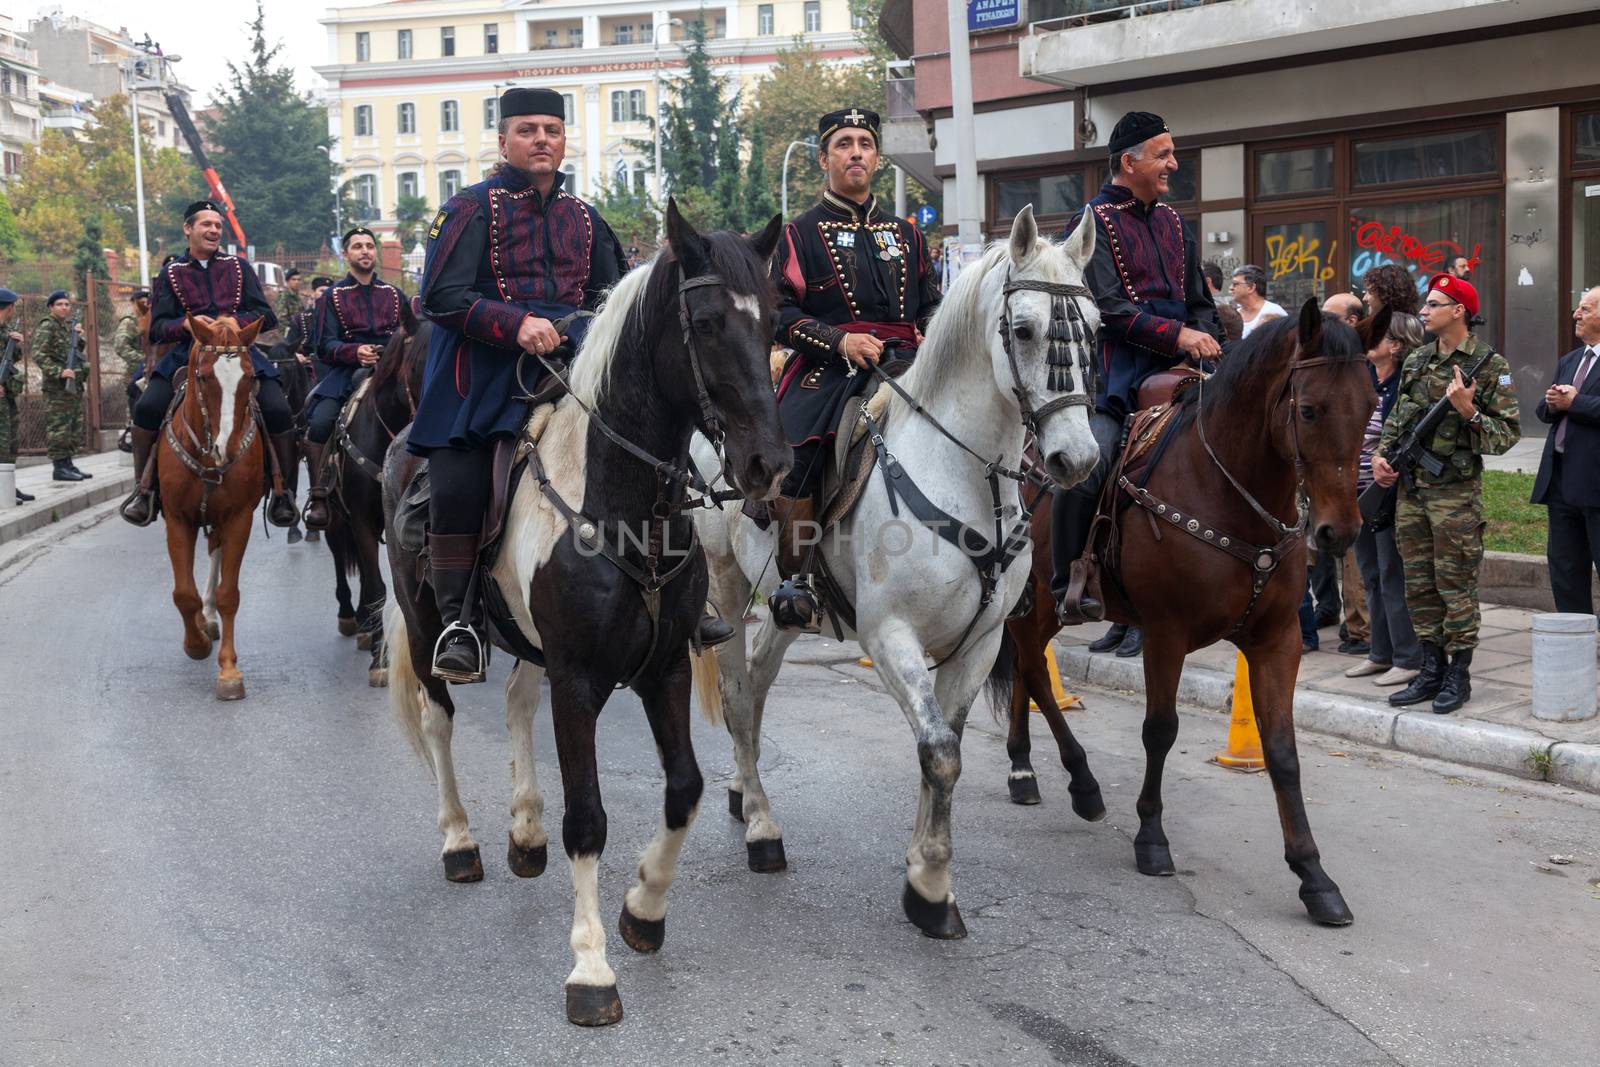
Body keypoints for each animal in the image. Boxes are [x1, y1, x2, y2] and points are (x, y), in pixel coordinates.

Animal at [157, 316, 270, 700]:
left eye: (250, 377)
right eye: (205, 377)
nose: (228, 448)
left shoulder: (239, 519)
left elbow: (228, 595)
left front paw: (229, 671)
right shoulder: (177, 519)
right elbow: (183, 594)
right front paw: (196, 644)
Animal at [382, 204, 793, 1030]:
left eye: (772, 321)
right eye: (705, 323)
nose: (767, 465)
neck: (623, 505)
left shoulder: (664, 669)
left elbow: (684, 788)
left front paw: (643, 907)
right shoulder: (577, 681)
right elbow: (590, 817)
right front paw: (591, 966)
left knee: (514, 701)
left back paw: (524, 829)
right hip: (426, 623)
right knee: (439, 718)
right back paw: (461, 839)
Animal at [694, 211, 1107, 940]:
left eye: (1094, 327)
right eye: (1024, 329)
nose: (1076, 458)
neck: (963, 472)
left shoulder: (980, 644)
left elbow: (945, 746)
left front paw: (924, 869)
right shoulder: (888, 636)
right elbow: (938, 749)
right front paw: (932, 890)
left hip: (785, 605)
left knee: (763, 680)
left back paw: (745, 791)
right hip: (725, 585)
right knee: (741, 698)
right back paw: (763, 829)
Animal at [1011, 300, 1388, 927]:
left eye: (1368, 406)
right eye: (1308, 409)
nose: (1341, 532)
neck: (1229, 491)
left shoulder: (1279, 639)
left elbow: (1282, 752)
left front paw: (1313, 876)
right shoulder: (1166, 634)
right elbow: (1160, 731)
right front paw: (1151, 838)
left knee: (1022, 666)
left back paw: (1023, 771)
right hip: (1037, 593)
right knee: (1033, 668)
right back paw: (1079, 784)